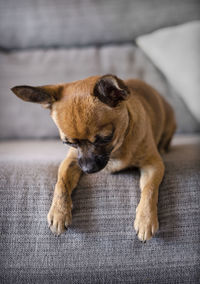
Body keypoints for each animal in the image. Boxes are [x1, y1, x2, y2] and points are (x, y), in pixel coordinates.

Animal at [11, 74, 177, 241]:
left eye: (105, 138)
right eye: (69, 143)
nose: (87, 169)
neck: (115, 151)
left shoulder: (153, 165)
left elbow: (149, 189)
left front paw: (146, 220)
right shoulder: (71, 161)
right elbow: (61, 184)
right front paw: (59, 213)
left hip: (170, 124)